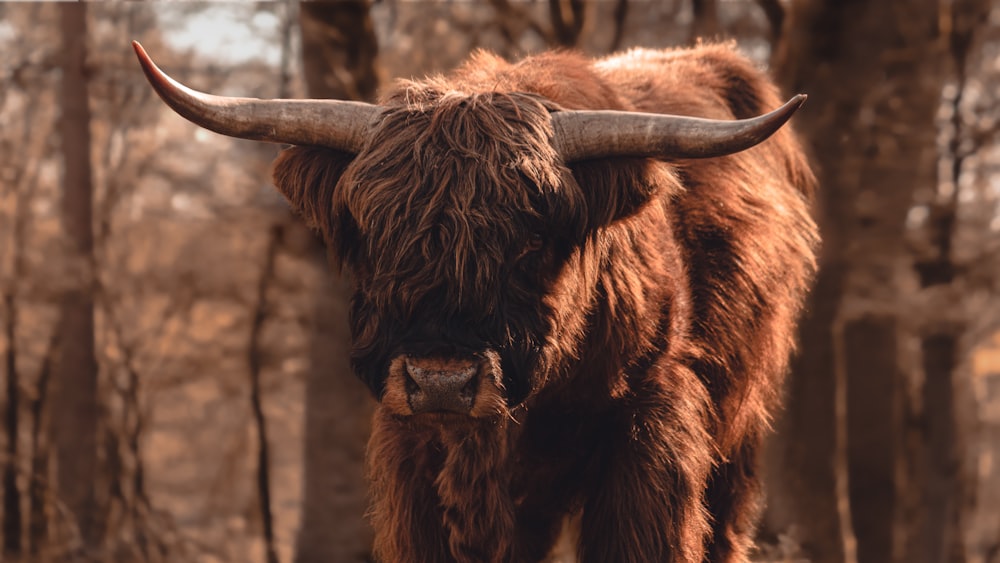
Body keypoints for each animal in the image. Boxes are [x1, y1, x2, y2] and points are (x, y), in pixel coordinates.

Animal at [133, 40, 820, 563]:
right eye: (374, 237)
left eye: (531, 241)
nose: (442, 382)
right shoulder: (422, 457)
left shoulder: (649, 429)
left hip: (741, 429)